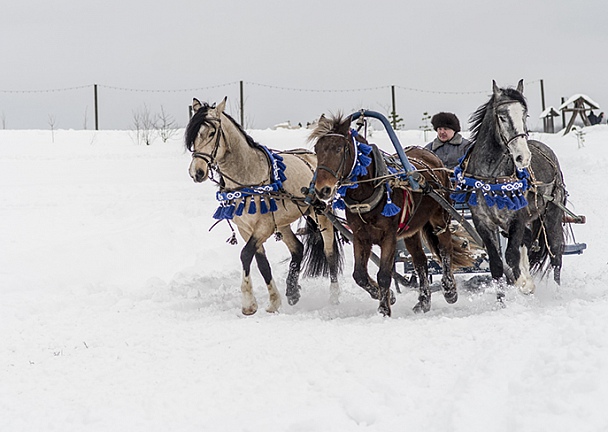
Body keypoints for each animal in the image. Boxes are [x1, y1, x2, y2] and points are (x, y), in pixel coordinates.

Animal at [185, 97, 342, 314]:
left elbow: (245, 255)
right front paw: (274, 300)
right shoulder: (246, 228)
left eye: (211, 132)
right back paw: (292, 291)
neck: (247, 177)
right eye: (193, 135)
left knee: (329, 252)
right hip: (283, 223)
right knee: (298, 248)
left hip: (321, 215)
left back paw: (334, 296)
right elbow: (261, 263)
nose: (197, 172)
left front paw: (248, 303)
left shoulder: (263, 226)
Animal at [454, 80, 568, 296]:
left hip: (552, 214)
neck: (490, 178)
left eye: (525, 115)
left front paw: (523, 284)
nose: (523, 157)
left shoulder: (517, 218)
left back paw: (557, 292)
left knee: (556, 252)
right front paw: (502, 298)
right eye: (502, 116)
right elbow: (497, 264)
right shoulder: (483, 222)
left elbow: (512, 256)